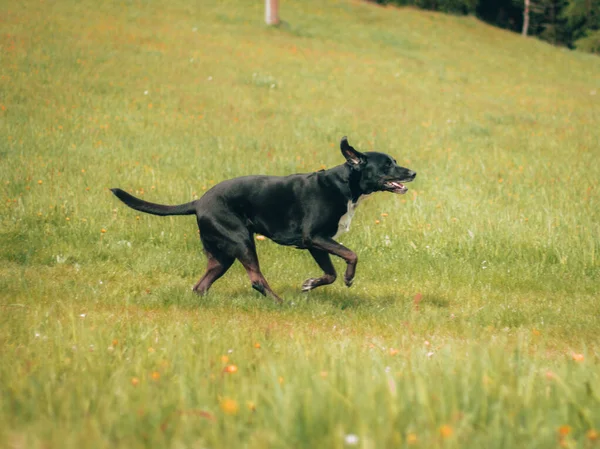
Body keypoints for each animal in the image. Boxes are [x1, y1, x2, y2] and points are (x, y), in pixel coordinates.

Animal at [110, 136, 414, 302]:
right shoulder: (315, 237)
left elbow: (330, 273)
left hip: (222, 255)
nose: (413, 173)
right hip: (242, 241)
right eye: (387, 164)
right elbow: (351, 255)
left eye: (395, 161)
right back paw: (279, 302)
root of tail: (198, 202)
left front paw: (310, 284)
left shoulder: (317, 243)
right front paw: (350, 279)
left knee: (201, 285)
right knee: (256, 279)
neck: (345, 183)